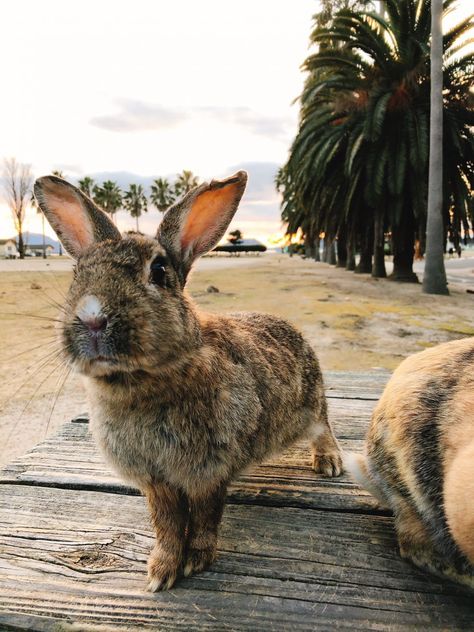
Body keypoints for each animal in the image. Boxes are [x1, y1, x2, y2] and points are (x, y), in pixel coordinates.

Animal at [35, 172, 342, 592]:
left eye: (159, 272)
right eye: (77, 276)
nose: (93, 319)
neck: (143, 382)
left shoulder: (207, 473)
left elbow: (204, 518)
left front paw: (196, 560)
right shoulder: (156, 481)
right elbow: (166, 525)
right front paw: (160, 572)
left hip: (311, 404)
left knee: (323, 425)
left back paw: (329, 463)